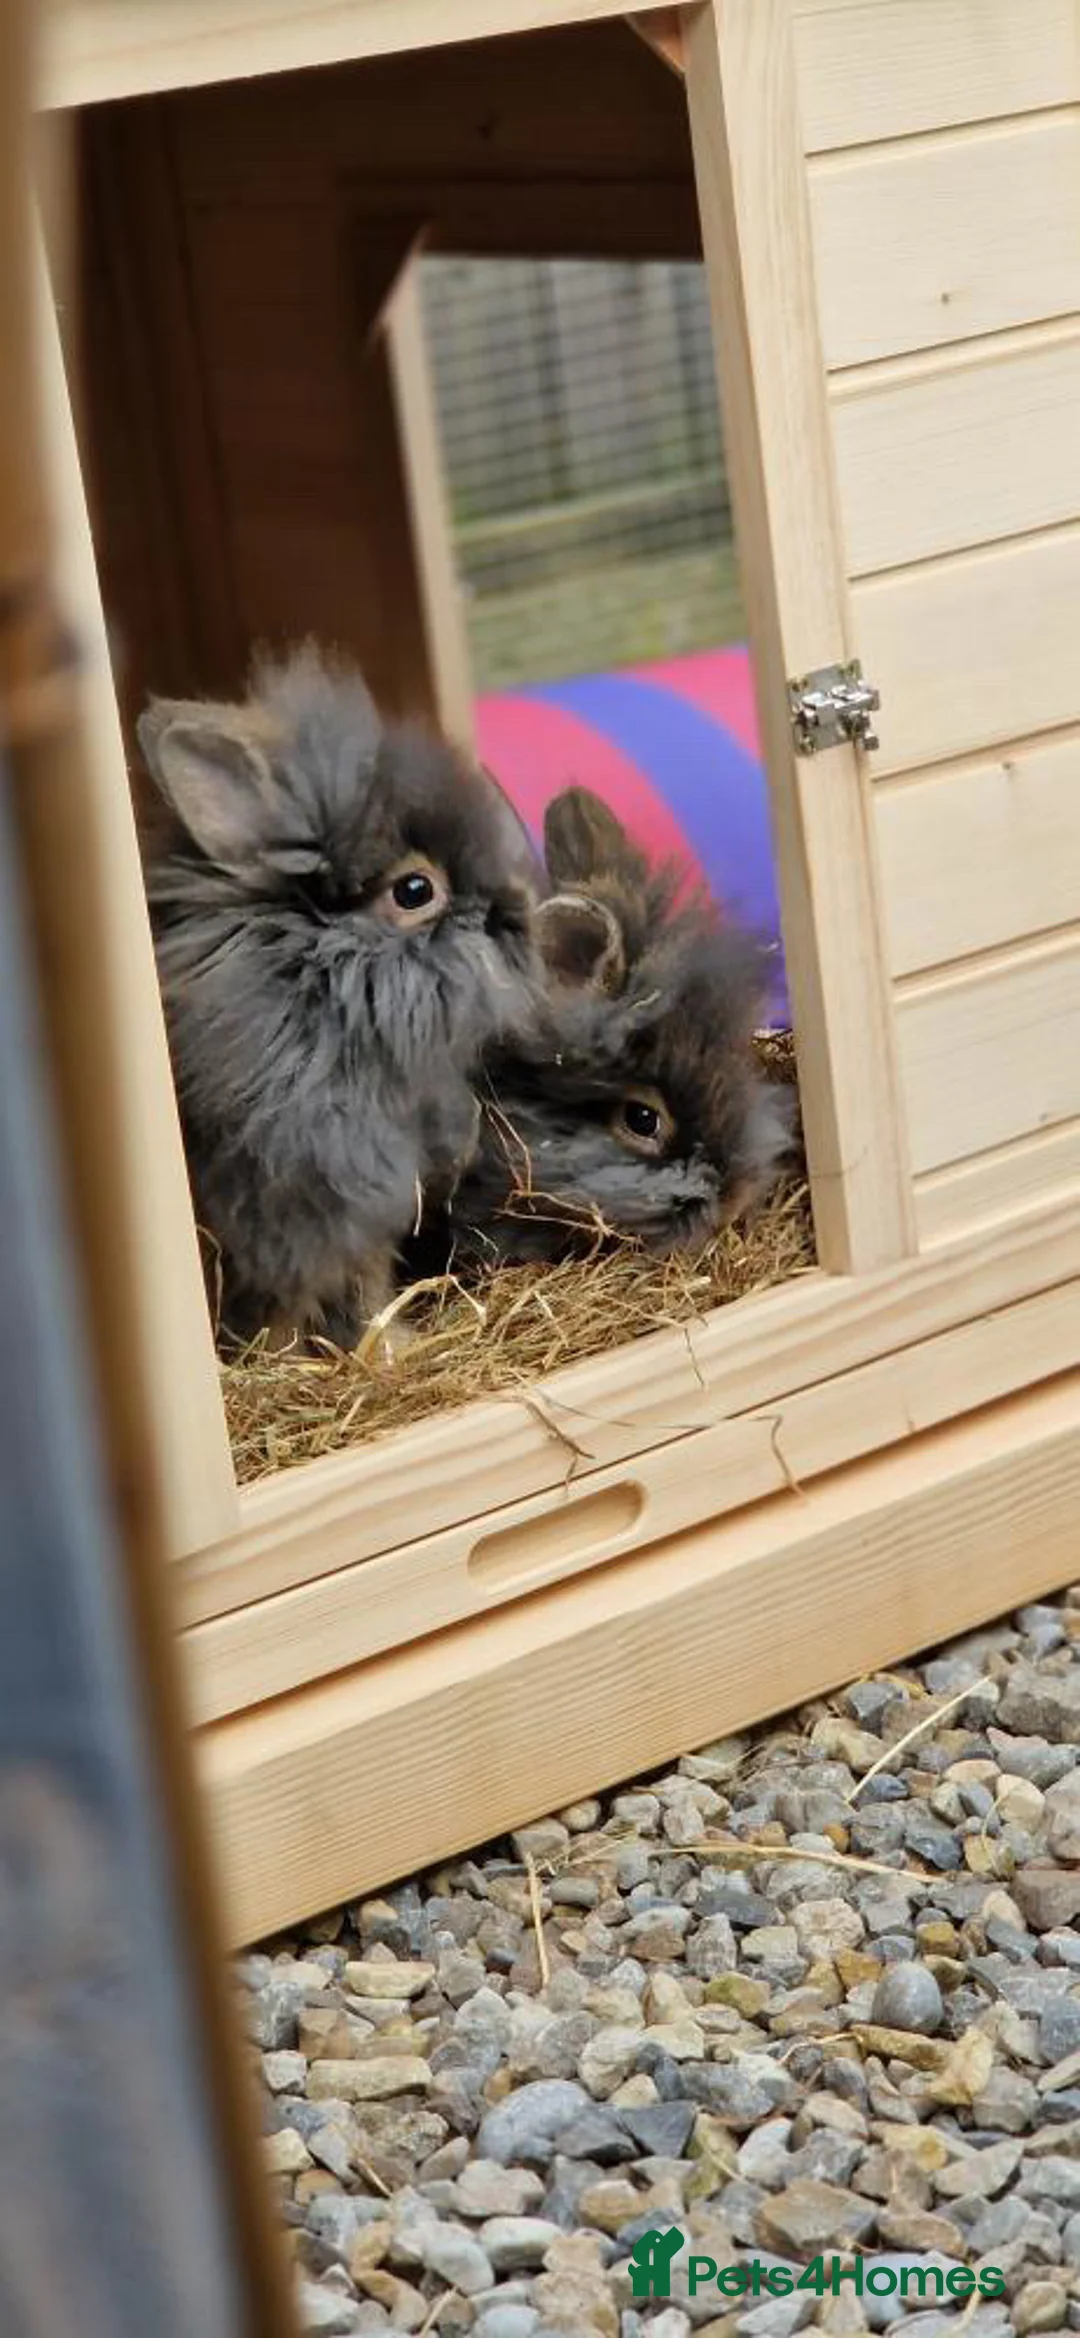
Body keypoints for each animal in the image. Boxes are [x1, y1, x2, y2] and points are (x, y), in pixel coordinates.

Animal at [137, 643, 538, 1348]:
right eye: (415, 890)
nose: (519, 911)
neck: (319, 991)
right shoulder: (323, 1206)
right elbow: (344, 1291)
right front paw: (389, 1351)